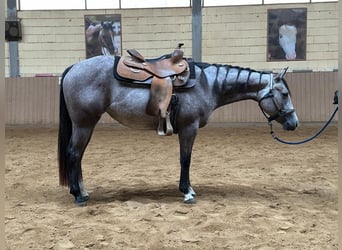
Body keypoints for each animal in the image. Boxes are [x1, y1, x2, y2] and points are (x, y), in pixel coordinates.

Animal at [57, 54, 298, 205]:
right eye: (285, 94)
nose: (294, 123)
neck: (206, 83)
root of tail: (73, 68)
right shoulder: (189, 128)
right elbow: (186, 159)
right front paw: (187, 191)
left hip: (87, 125)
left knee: (78, 155)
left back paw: (83, 191)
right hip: (84, 123)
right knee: (74, 153)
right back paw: (78, 195)